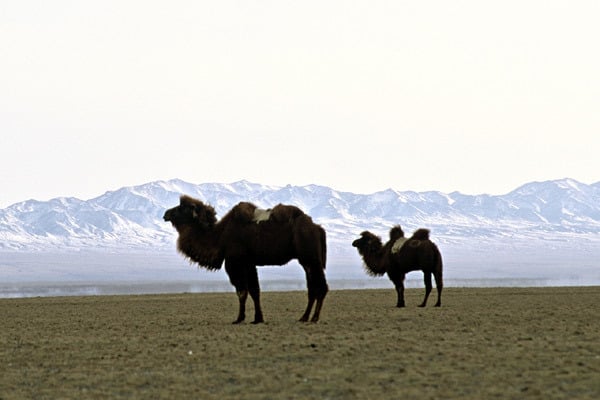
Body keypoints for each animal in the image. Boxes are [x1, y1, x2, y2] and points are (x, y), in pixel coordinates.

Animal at [164, 195, 328, 324]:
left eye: (182, 207)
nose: (166, 213)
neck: (219, 237)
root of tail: (318, 228)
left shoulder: (236, 262)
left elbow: (242, 291)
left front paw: (239, 318)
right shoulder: (249, 263)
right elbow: (255, 291)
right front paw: (258, 319)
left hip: (311, 257)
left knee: (321, 286)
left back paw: (314, 318)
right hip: (307, 260)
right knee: (312, 287)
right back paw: (304, 317)